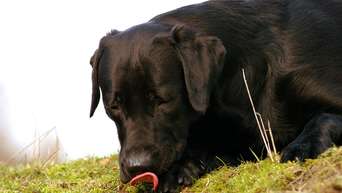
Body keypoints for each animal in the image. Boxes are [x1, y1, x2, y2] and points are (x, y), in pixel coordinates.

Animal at [90, 0, 342, 191]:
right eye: (114, 107)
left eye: (162, 100)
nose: (137, 167)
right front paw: (180, 169)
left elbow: (323, 118)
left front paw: (302, 146)